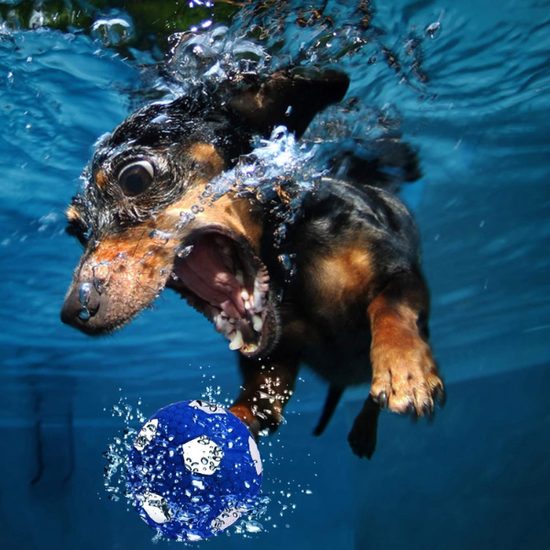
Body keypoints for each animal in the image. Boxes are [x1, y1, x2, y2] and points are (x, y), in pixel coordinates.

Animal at [62, 67, 446, 460]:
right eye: (76, 231)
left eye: (135, 178)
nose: (73, 311)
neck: (286, 266)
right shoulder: (273, 362)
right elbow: (256, 405)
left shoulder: (401, 273)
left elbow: (391, 306)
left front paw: (404, 368)